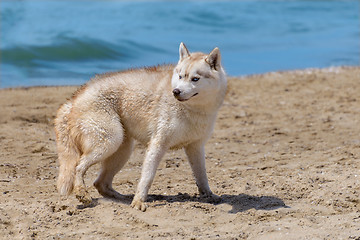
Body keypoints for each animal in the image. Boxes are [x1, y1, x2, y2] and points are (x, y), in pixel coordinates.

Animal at [54, 42, 226, 211]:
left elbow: (202, 176)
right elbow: (147, 177)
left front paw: (209, 195)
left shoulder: (195, 146)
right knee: (78, 167)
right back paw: (82, 193)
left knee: (100, 183)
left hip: (121, 149)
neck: (192, 109)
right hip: (110, 142)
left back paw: (120, 197)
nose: (176, 91)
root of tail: (73, 99)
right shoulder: (158, 144)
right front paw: (138, 201)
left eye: (195, 79)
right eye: (180, 76)